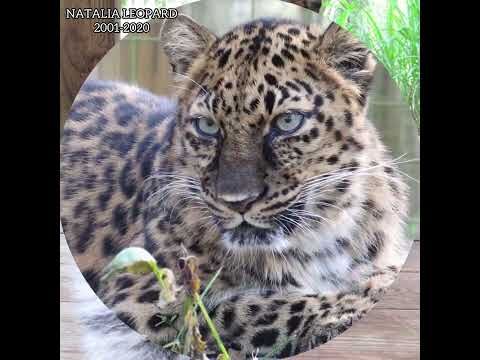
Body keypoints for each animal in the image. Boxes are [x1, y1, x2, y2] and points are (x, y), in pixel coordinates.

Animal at [61, 11, 408, 360]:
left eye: (287, 122)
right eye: (207, 126)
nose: (236, 201)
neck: (322, 241)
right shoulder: (139, 288)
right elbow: (258, 306)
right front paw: (354, 304)